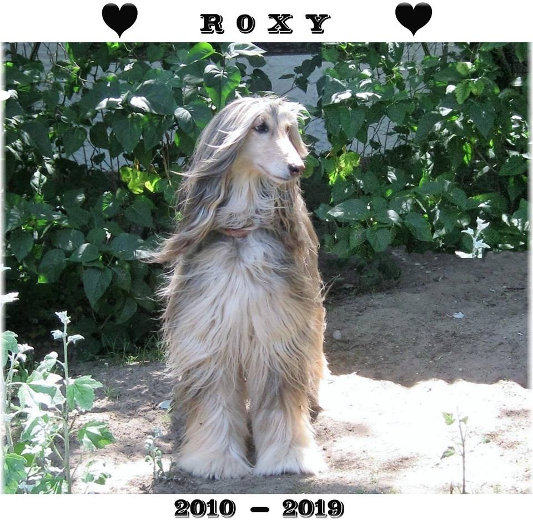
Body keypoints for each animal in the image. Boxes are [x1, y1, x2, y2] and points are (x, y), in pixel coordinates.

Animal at [154, 96, 328, 479]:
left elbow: (280, 403)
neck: (242, 233)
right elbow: (215, 403)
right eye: (259, 127)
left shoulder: (277, 334)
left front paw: (287, 457)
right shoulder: (210, 338)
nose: (297, 167)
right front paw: (215, 459)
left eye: (288, 130)